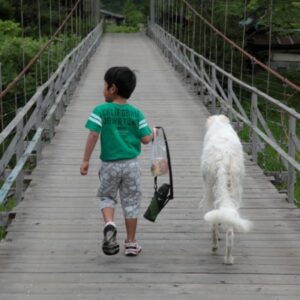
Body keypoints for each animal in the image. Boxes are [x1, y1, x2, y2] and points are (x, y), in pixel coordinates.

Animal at [202, 115, 251, 264]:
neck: (219, 124)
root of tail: (223, 157)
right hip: (235, 189)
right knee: (230, 227)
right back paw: (228, 258)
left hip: (210, 190)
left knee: (213, 223)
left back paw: (214, 246)